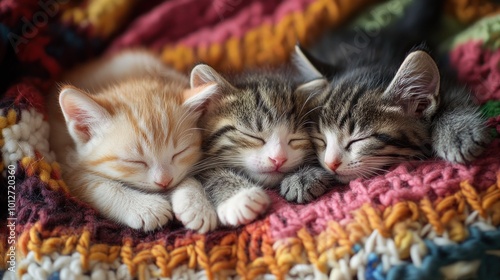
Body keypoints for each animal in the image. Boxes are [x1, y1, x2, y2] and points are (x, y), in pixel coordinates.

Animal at [48, 50, 217, 232]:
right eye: (135, 161)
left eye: (179, 152)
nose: (163, 181)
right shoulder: (66, 165)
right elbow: (95, 184)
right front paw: (145, 208)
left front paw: (196, 204)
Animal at [178, 64, 334, 228]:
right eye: (253, 136)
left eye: (295, 139)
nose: (278, 159)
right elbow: (210, 173)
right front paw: (241, 197)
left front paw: (304, 176)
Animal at [292, 0, 492, 184]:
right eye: (321, 138)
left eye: (358, 140)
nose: (330, 163)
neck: (373, 59)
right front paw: (301, 178)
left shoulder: (449, 81)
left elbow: (455, 98)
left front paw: (458, 134)